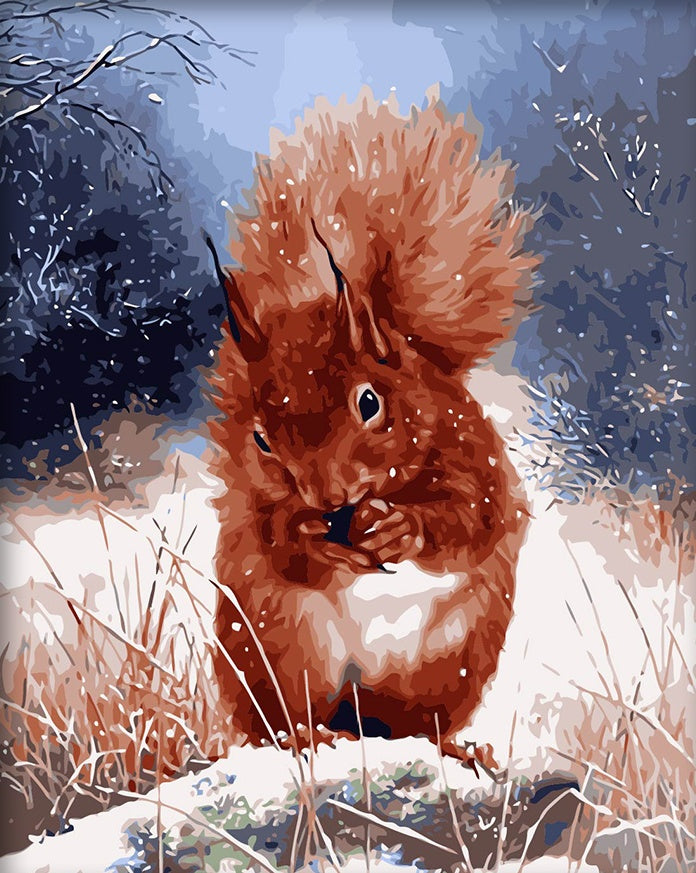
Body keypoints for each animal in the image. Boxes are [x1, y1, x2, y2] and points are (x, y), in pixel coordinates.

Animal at [208, 87, 540, 774]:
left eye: (369, 402)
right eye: (261, 440)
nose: (327, 499)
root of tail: (359, 713)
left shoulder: (471, 452)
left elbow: (471, 516)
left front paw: (403, 528)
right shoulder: (257, 509)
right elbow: (274, 540)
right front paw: (309, 537)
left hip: (453, 663)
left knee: (419, 725)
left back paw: (460, 748)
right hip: (277, 652)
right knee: (278, 721)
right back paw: (308, 737)